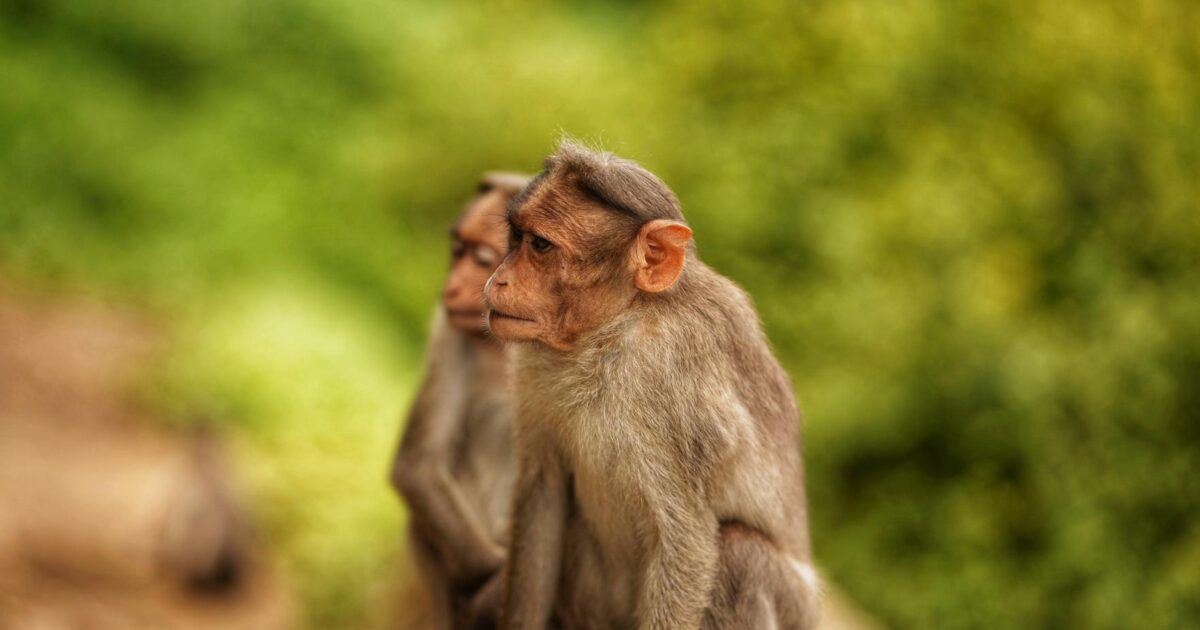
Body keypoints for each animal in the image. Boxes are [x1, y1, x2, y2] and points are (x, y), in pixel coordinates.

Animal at [391, 172, 532, 630]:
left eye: (481, 258)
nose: (449, 287)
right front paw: (492, 583)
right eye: (457, 251)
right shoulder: (447, 331)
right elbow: (419, 466)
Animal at [482, 140, 821, 630]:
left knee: (740, 552)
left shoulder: (678, 389)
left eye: (541, 245)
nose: (498, 279)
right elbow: (542, 487)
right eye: (518, 236)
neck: (613, 329)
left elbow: (688, 543)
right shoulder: (533, 364)